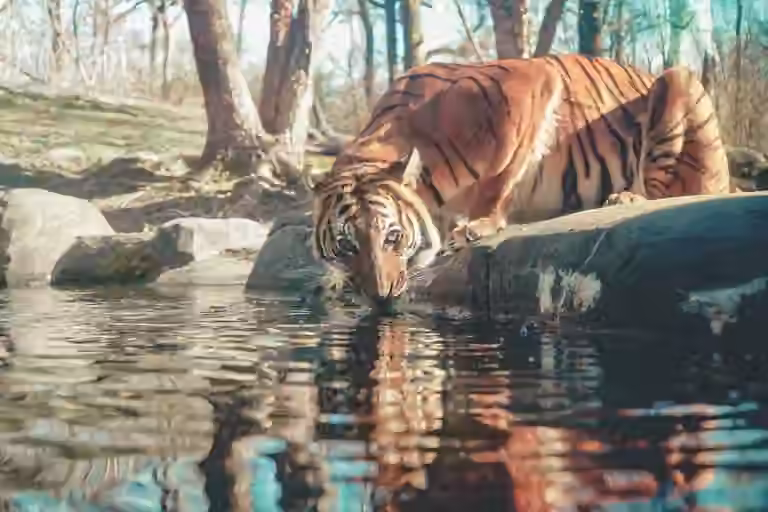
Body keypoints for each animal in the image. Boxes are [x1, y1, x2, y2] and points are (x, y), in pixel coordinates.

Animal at [307, 53, 732, 308]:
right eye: (346, 245)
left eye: (392, 237)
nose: (379, 297)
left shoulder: (531, 82)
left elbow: (502, 171)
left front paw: (477, 225)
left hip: (678, 82)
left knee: (674, 190)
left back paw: (626, 198)